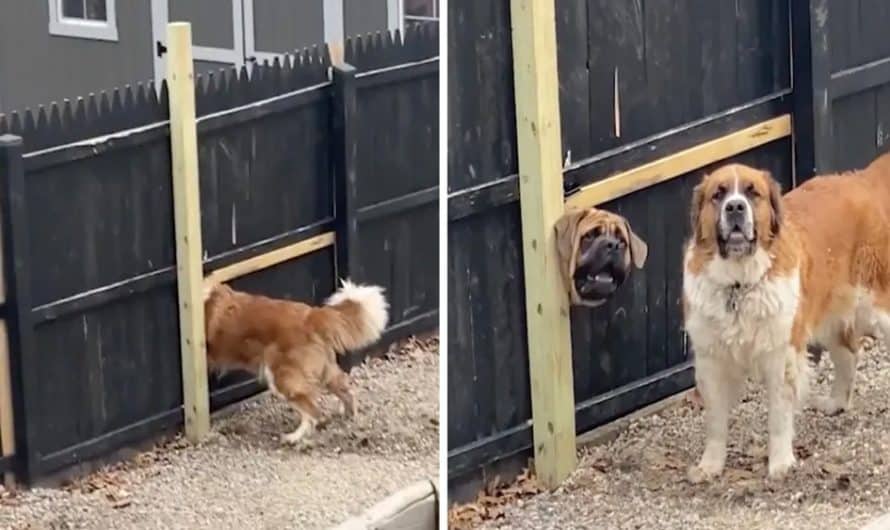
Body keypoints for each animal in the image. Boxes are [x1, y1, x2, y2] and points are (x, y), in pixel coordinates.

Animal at [206, 278, 390, 444]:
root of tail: (312, 316)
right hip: (325, 372)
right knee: (347, 392)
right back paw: (348, 415)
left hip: (282, 377)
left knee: (312, 412)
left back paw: (293, 438)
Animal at [684, 152, 888, 478]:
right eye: (719, 194)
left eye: (752, 193)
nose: (735, 207)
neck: (740, 284)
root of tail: (860, 179)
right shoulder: (711, 360)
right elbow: (715, 422)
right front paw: (710, 465)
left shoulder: (780, 355)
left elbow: (778, 416)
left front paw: (780, 462)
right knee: (848, 353)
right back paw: (836, 403)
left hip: (875, 305)